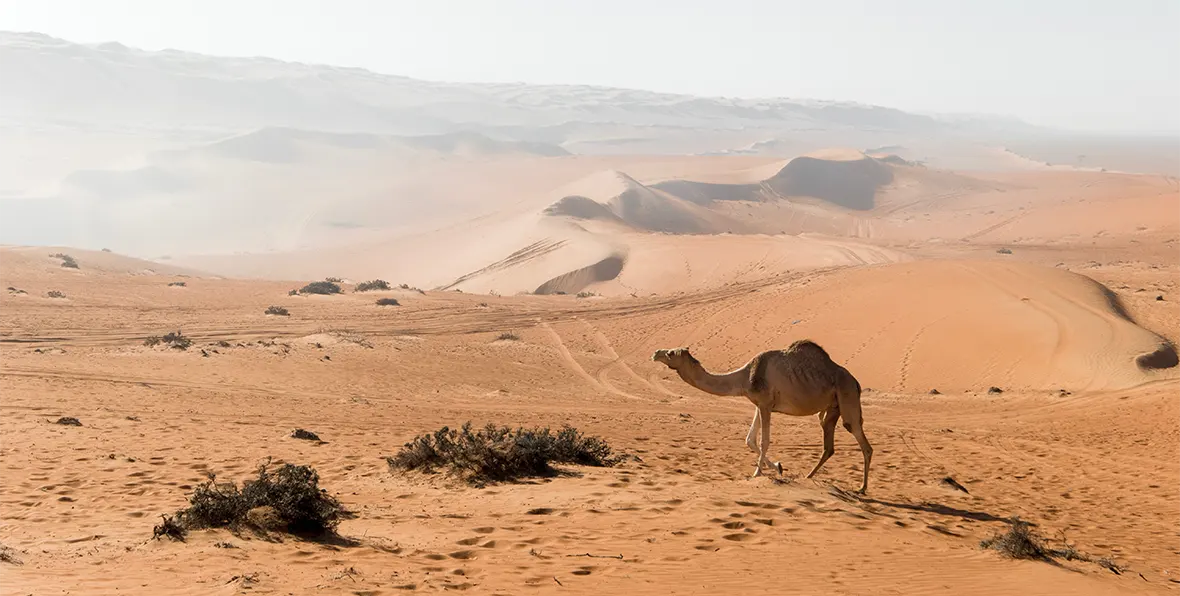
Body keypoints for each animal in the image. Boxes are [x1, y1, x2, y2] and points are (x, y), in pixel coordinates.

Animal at [651, 339, 873, 493]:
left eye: (670, 353)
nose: (655, 353)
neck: (745, 377)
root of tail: (856, 382)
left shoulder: (765, 404)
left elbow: (764, 440)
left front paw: (757, 473)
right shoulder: (760, 404)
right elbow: (749, 439)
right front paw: (778, 467)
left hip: (847, 395)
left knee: (861, 440)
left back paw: (862, 488)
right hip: (832, 408)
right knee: (828, 444)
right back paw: (809, 476)